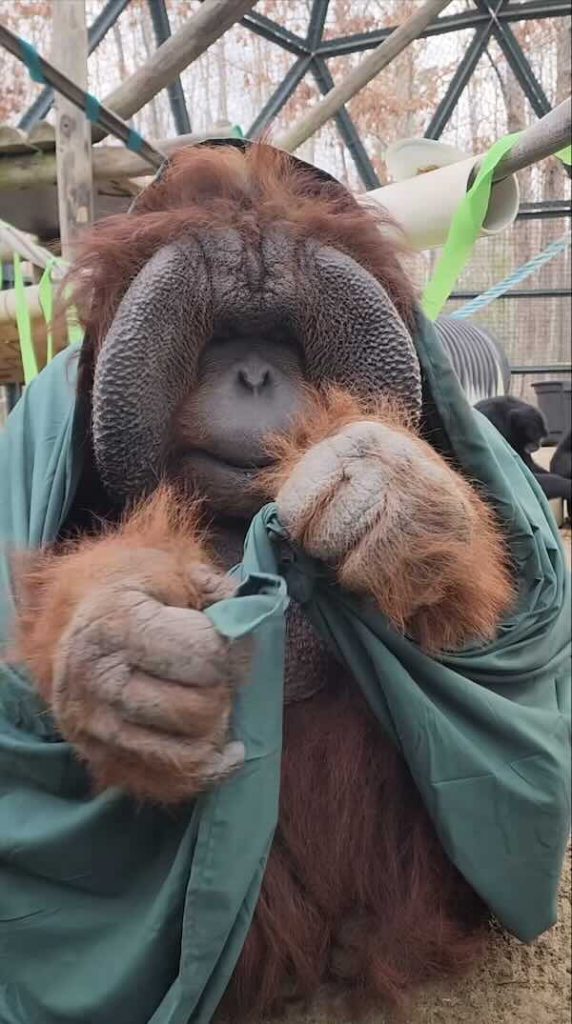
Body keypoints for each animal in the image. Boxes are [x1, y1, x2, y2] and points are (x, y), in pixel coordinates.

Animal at [8, 142, 517, 1021]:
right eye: (222, 342)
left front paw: (386, 492)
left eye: (281, 340)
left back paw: (366, 945)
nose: (253, 375)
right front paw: (124, 654)